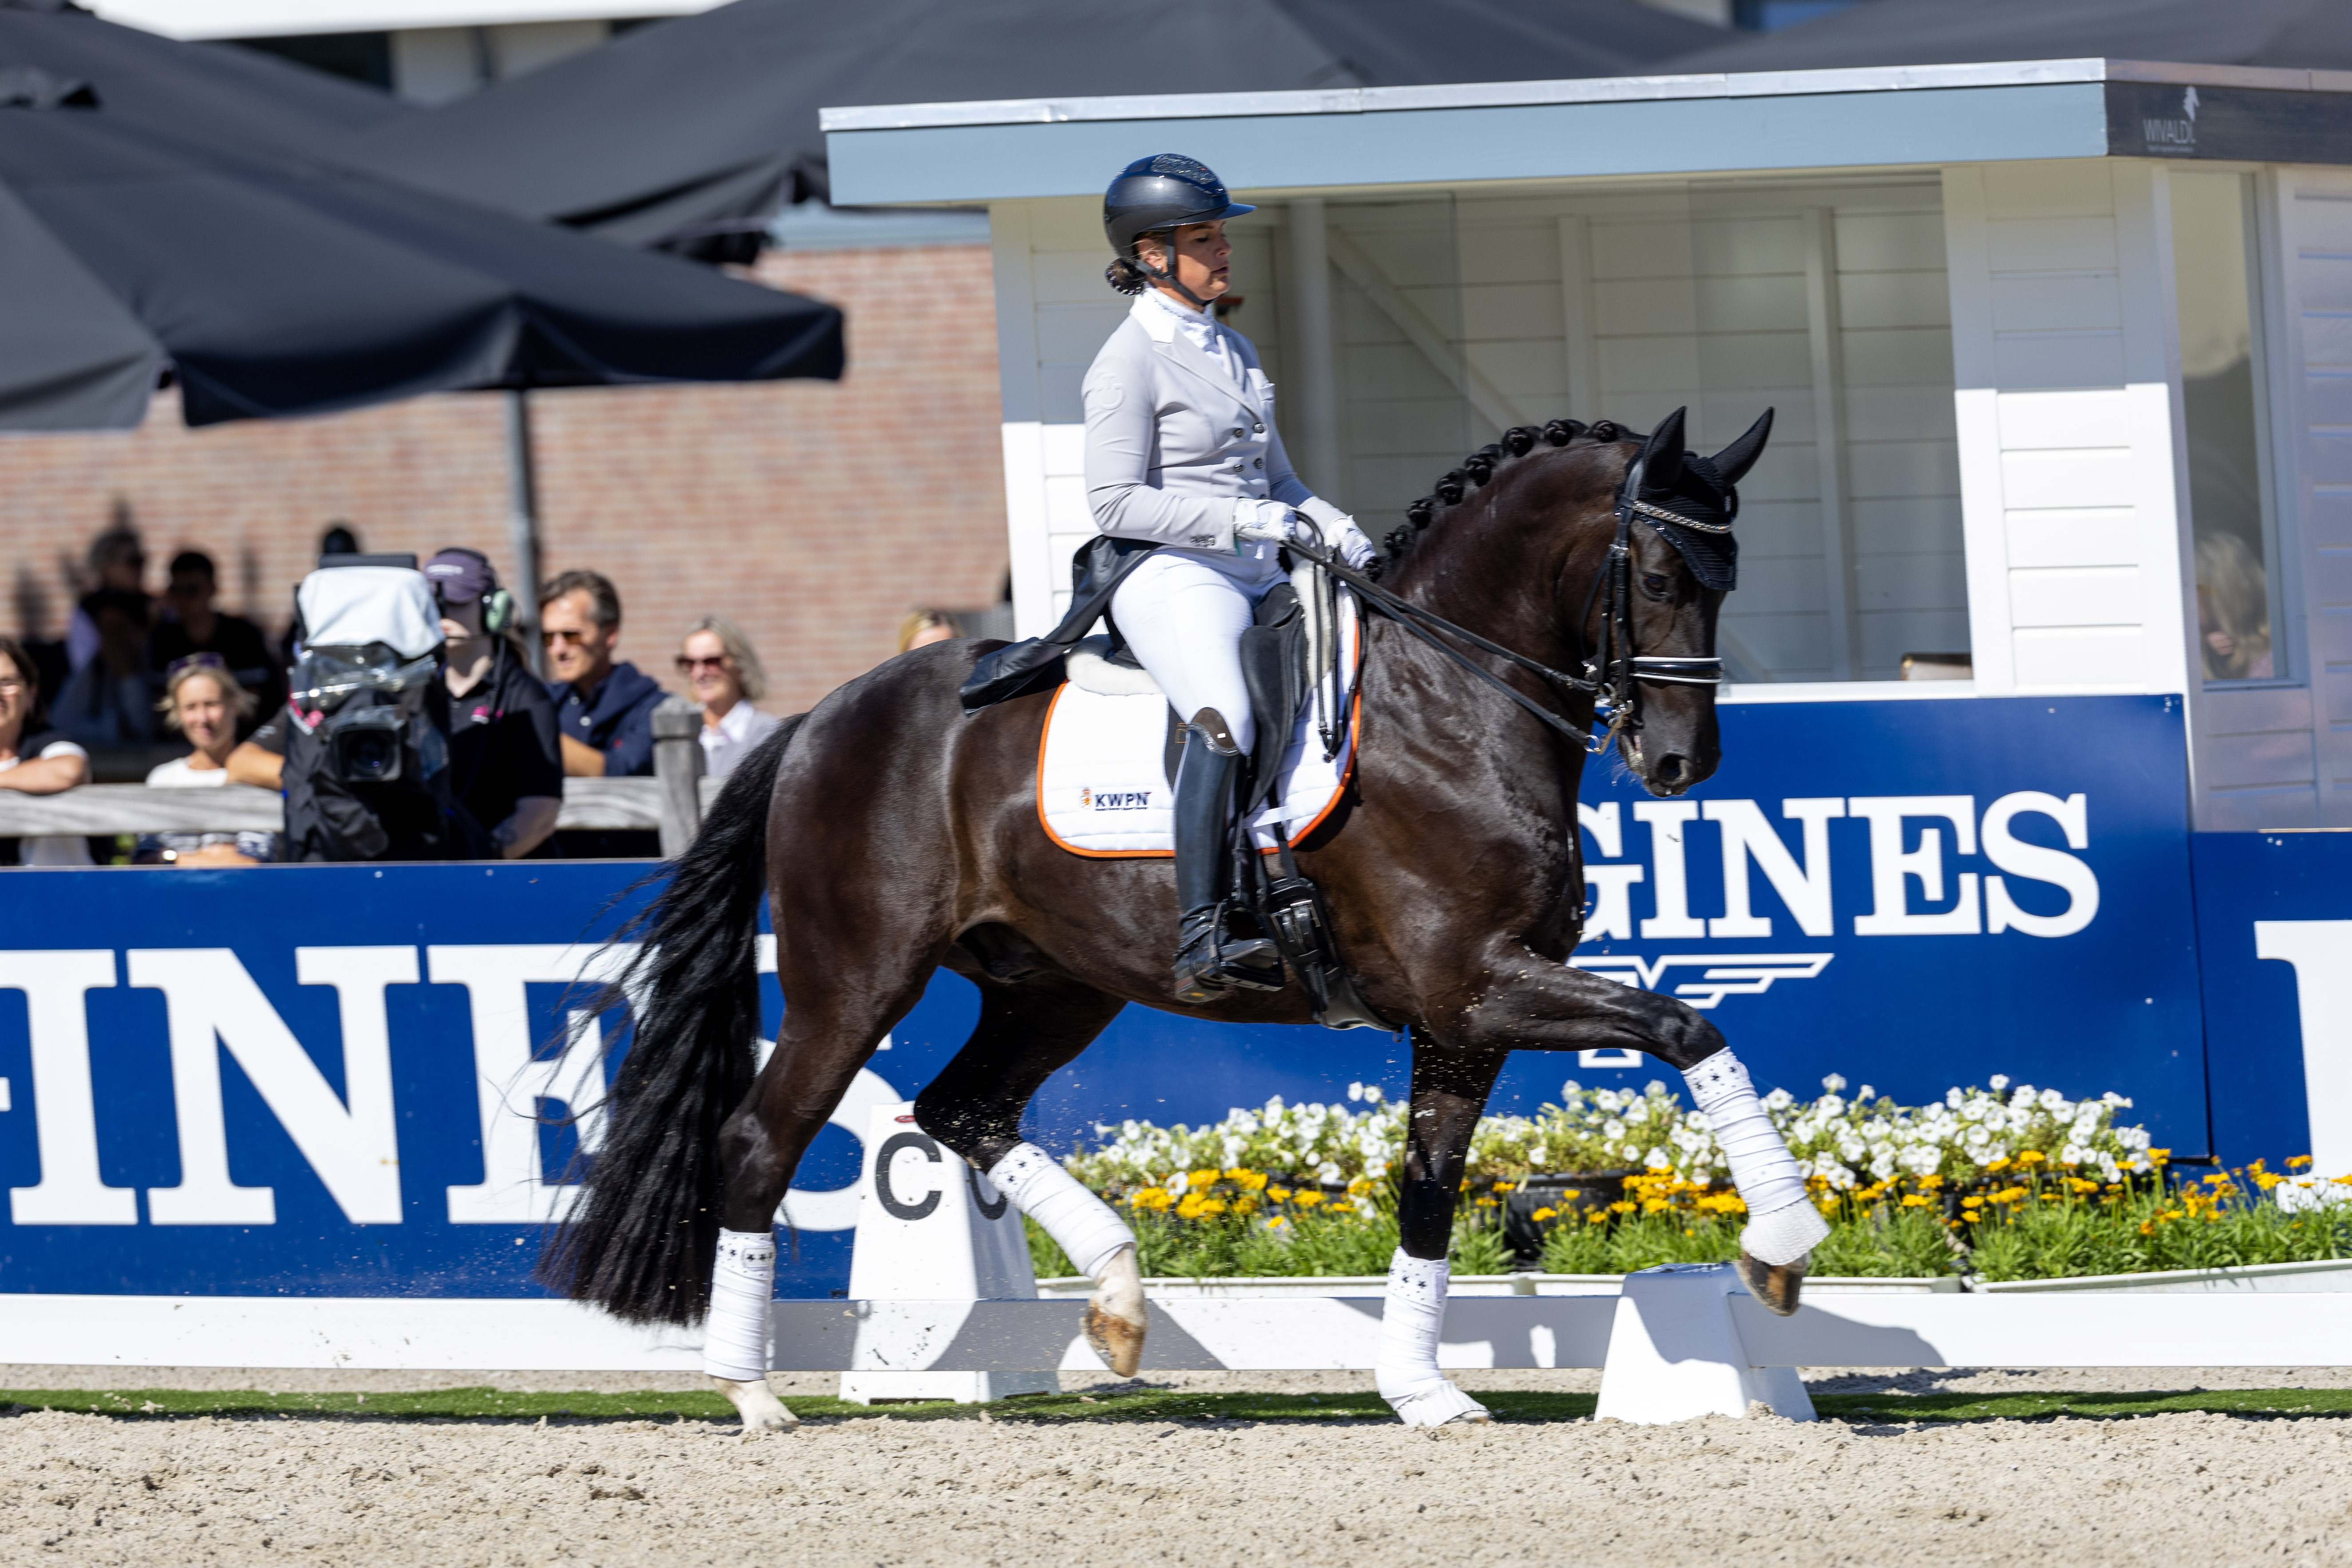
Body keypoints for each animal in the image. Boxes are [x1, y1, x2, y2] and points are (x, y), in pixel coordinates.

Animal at [547, 405, 1804, 1429]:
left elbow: (1428, 1192)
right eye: (1655, 574)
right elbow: (1687, 1025)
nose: (1682, 763)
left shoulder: (1465, 1017)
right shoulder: (1476, 983)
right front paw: (1778, 1249)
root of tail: (818, 715)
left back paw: (1115, 1304)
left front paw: (1421, 1391)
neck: (1446, 703)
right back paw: (751, 1393)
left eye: (1730, 576)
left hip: (1054, 985)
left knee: (961, 1107)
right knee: (762, 1139)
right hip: (853, 982)